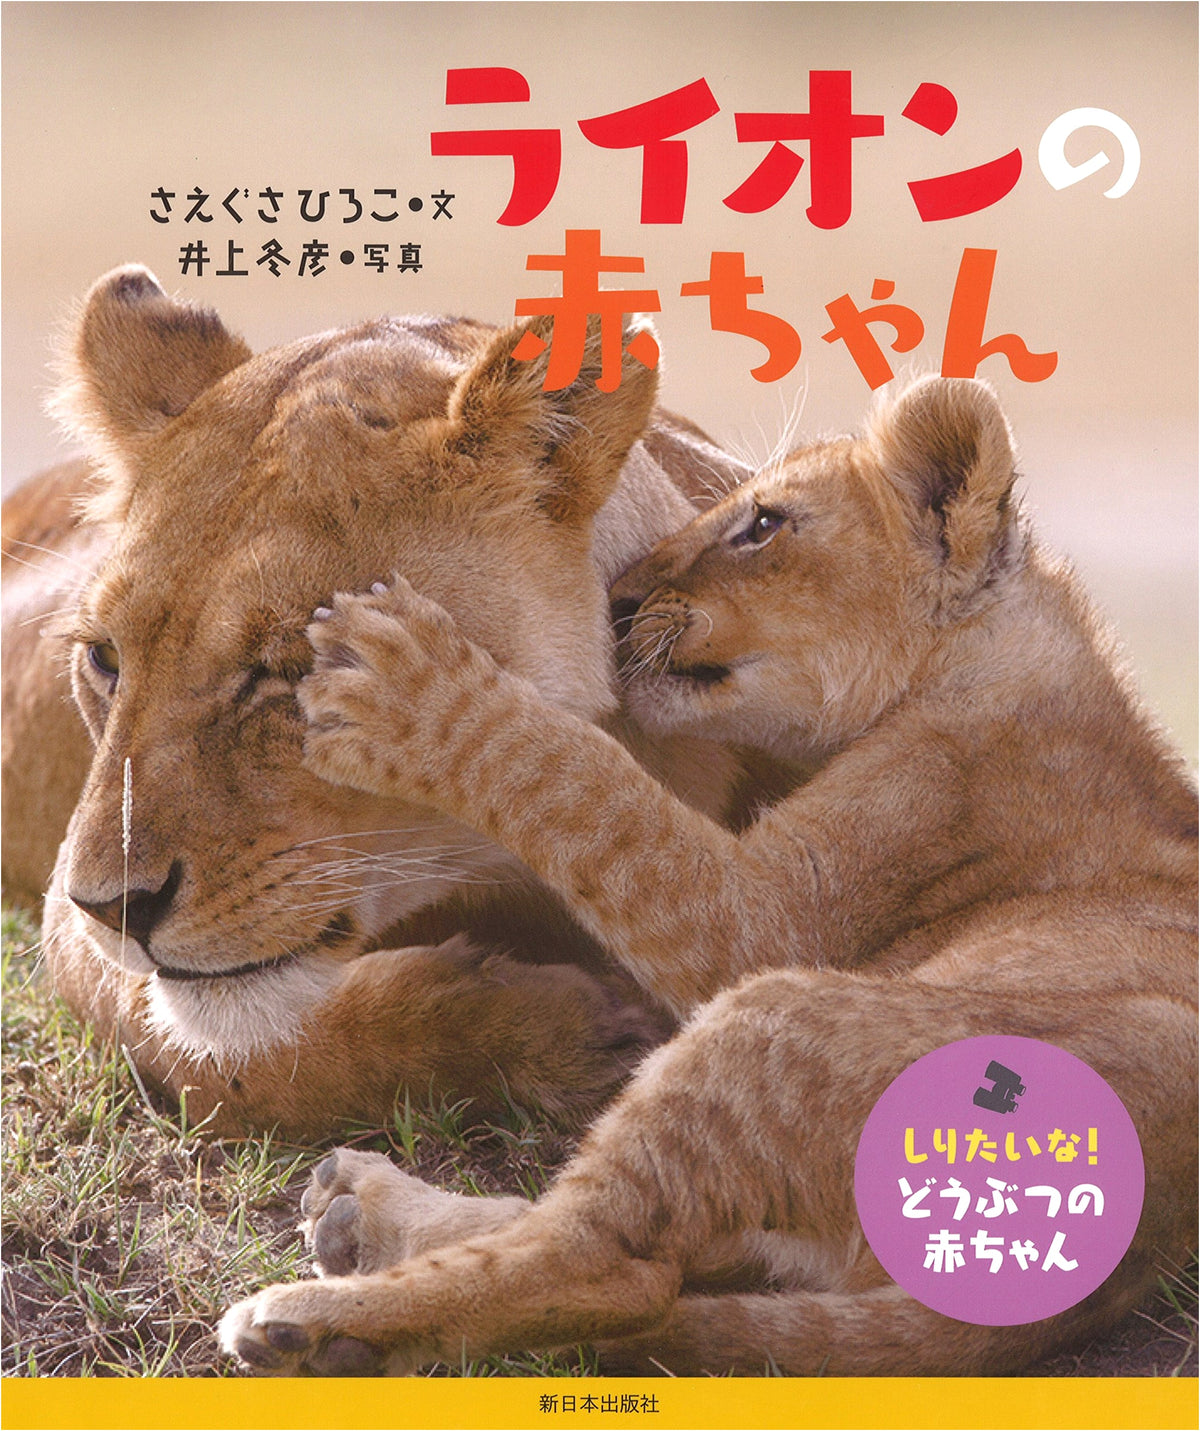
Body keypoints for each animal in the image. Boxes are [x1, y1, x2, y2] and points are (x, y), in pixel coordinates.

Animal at [1, 264, 756, 1139]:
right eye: (105, 658)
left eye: (298, 664)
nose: (114, 908)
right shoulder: (71, 927)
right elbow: (241, 1053)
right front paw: (558, 1033)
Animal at [221, 376, 1197, 1375]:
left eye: (763, 524)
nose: (616, 602)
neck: (994, 639)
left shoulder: (789, 904)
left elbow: (584, 785)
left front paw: (416, 685)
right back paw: (359, 1211)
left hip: (779, 1018)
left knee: (612, 1268)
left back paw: (317, 1321)